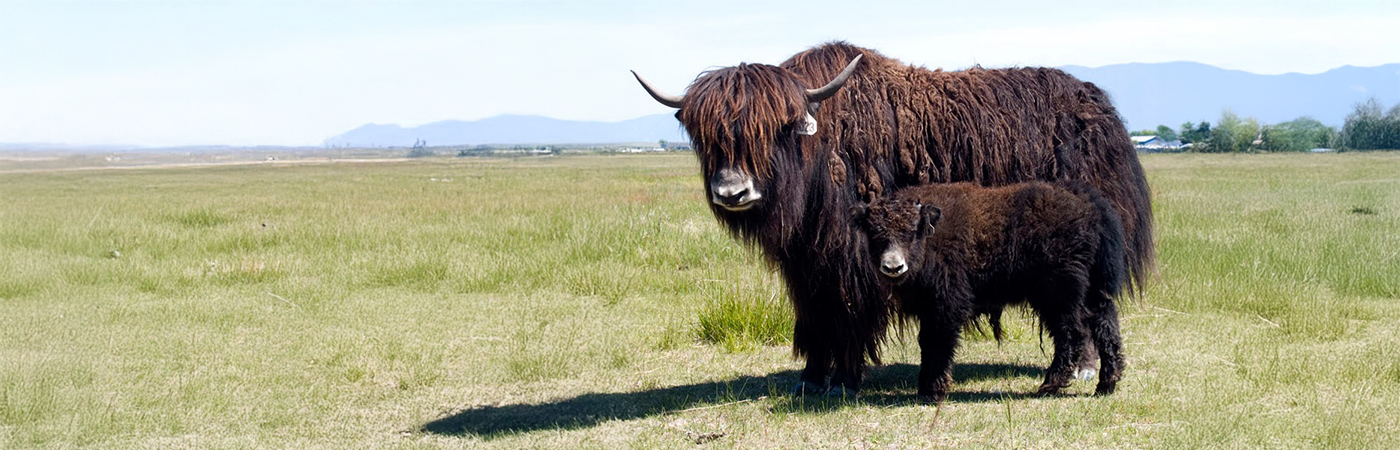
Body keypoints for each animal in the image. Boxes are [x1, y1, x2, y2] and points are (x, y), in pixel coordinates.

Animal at [632, 41, 1151, 396]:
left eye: (775, 129)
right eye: (707, 135)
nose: (731, 192)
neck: (819, 147)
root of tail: (1101, 107)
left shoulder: (853, 256)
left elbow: (847, 311)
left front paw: (845, 378)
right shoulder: (807, 264)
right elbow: (814, 314)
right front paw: (811, 378)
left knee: (1084, 309)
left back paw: (1083, 368)